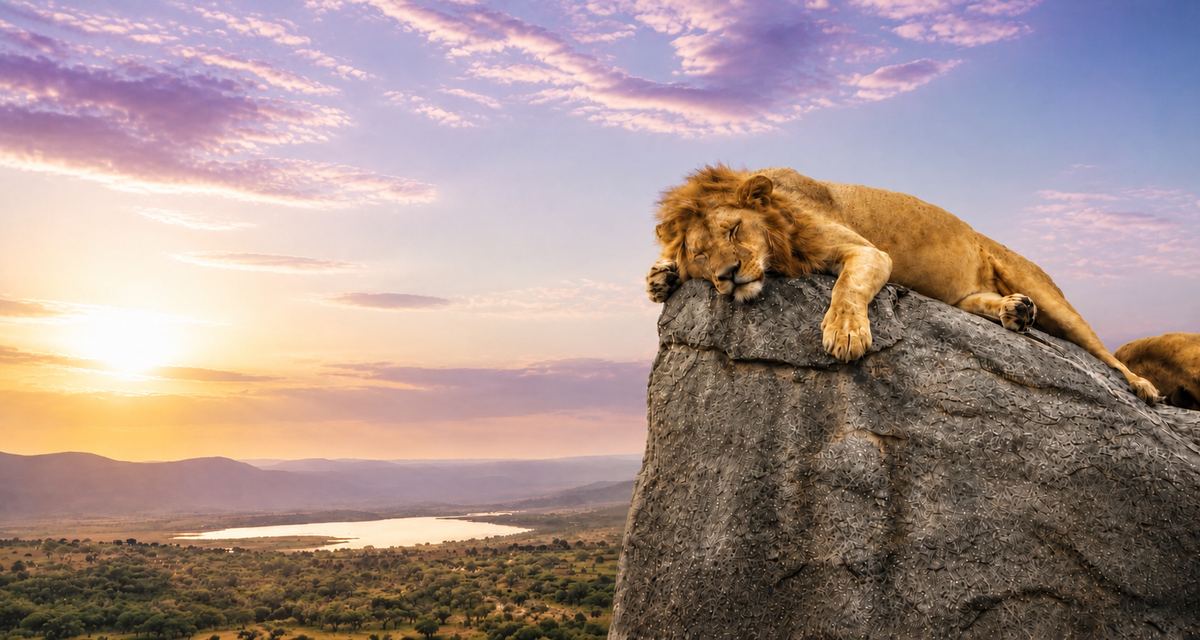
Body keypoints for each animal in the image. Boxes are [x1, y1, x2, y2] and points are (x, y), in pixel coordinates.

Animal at [646, 165, 1160, 404]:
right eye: (701, 255)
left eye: (734, 230)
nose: (727, 276)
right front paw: (660, 276)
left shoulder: (869, 252)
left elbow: (846, 288)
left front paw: (845, 334)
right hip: (966, 296)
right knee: (984, 302)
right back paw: (1015, 311)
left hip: (1052, 297)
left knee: (1102, 351)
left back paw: (1142, 386)